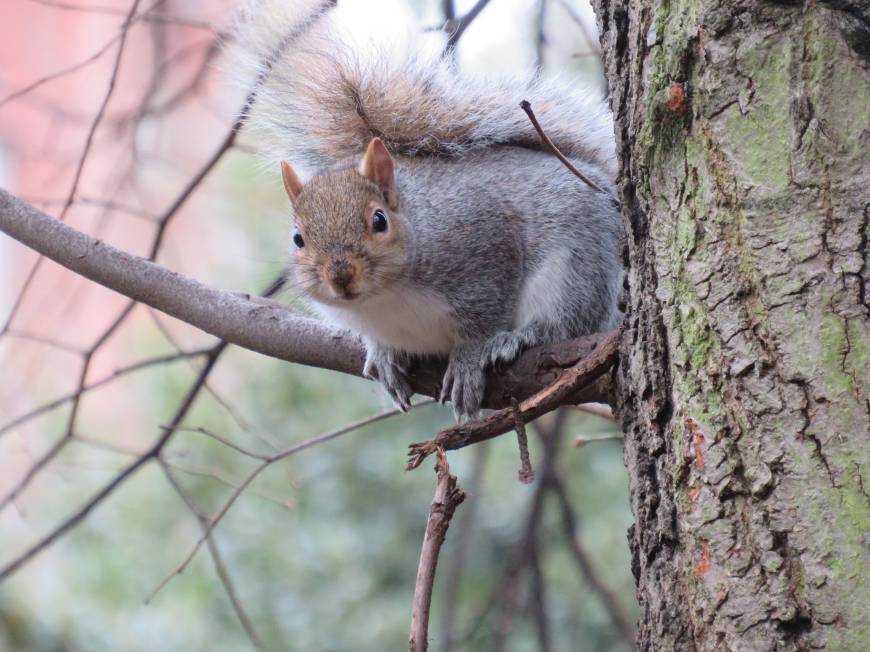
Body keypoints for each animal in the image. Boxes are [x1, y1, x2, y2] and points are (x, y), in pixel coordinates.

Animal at [232, 0, 628, 418]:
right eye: (298, 238)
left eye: (379, 220)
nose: (340, 275)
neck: (385, 298)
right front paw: (384, 356)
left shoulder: (484, 249)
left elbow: (485, 319)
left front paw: (470, 360)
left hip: (575, 268)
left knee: (569, 322)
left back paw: (520, 337)